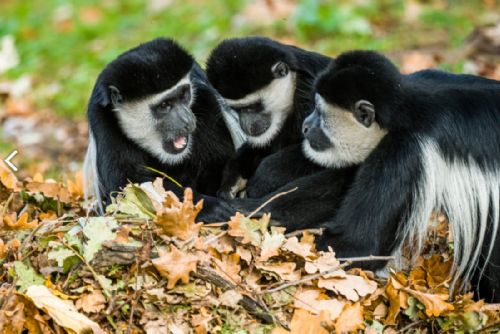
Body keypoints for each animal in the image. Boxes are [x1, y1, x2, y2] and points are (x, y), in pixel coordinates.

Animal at [84, 37, 244, 220]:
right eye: (164, 105)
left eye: (183, 95)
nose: (188, 120)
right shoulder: (102, 121)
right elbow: (127, 183)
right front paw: (210, 208)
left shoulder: (206, 99)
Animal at [205, 36, 330, 198]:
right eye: (236, 109)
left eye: (253, 106)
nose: (246, 125)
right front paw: (231, 181)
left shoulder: (310, 97)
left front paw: (265, 177)